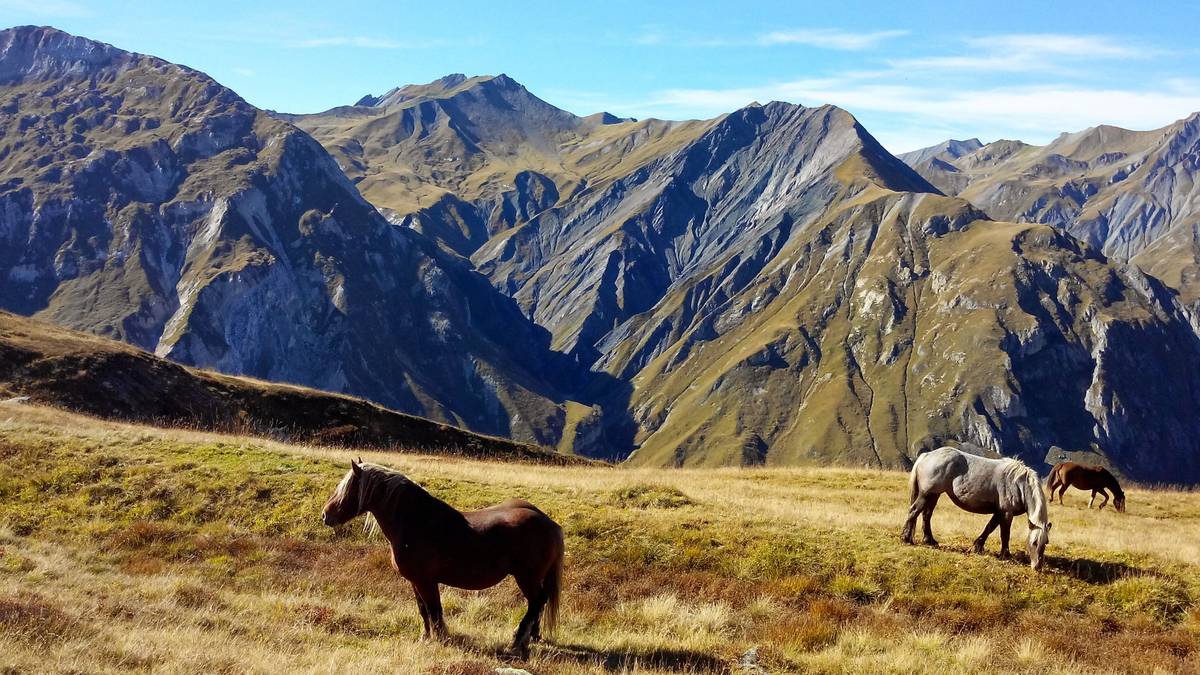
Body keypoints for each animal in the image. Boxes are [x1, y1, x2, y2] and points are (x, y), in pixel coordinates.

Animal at [319, 456, 561, 658]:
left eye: (349, 489)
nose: (325, 515)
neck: (416, 522)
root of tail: (549, 522)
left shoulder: (426, 581)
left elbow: (434, 610)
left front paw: (440, 638)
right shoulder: (416, 582)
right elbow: (424, 610)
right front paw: (426, 637)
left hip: (526, 578)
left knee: (537, 602)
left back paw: (517, 641)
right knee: (537, 605)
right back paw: (530, 639)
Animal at [902, 446, 1051, 566]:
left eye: (1045, 543)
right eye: (1034, 542)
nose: (1037, 566)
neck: (1018, 483)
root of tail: (927, 455)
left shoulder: (999, 512)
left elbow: (989, 528)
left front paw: (978, 546)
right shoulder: (1006, 513)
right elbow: (1005, 534)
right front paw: (1006, 555)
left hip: (934, 495)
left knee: (926, 515)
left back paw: (929, 540)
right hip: (926, 494)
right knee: (914, 511)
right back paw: (906, 538)